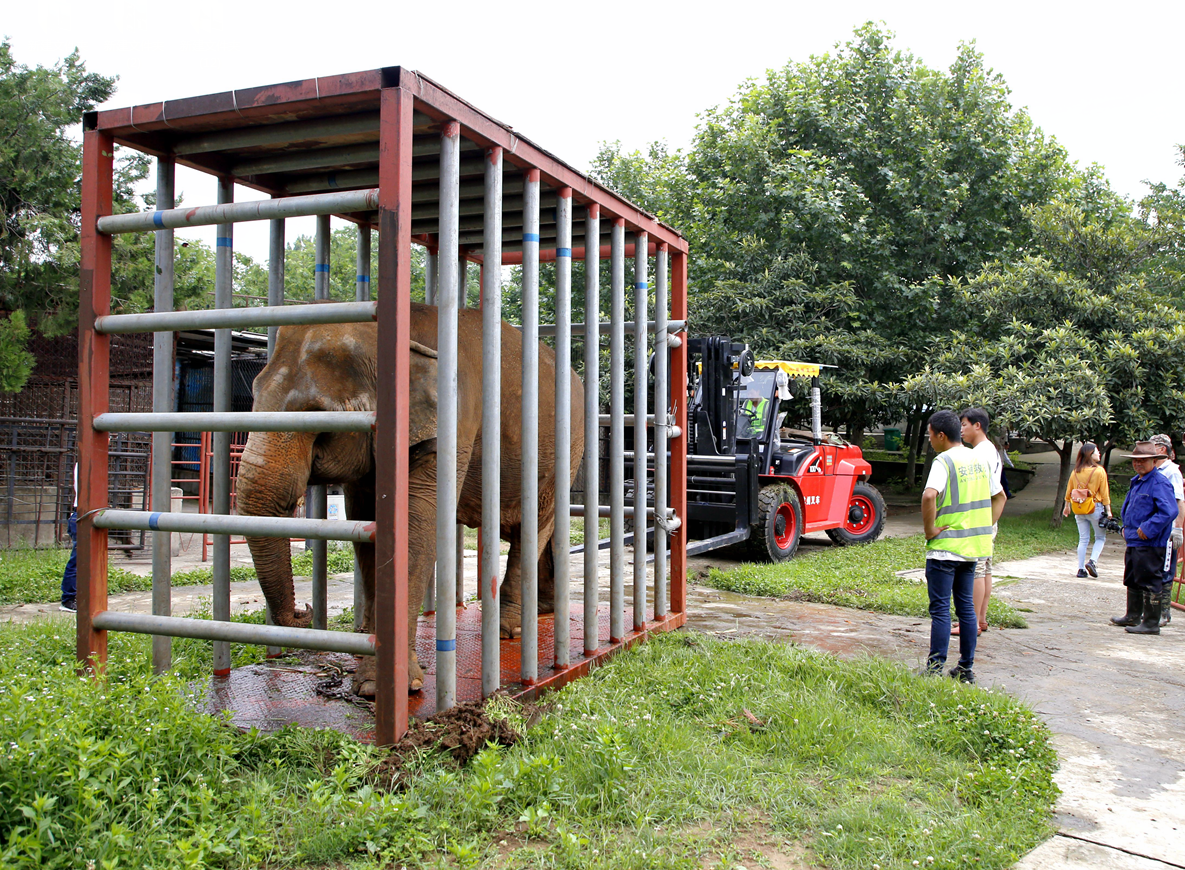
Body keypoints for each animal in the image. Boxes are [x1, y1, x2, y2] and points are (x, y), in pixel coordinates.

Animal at [233, 303, 585, 696]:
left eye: (317, 414)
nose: (304, 611)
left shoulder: (454, 419)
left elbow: (415, 528)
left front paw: (383, 687)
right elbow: (366, 523)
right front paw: (370, 664)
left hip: (565, 451)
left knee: (534, 525)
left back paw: (509, 629)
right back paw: (542, 609)